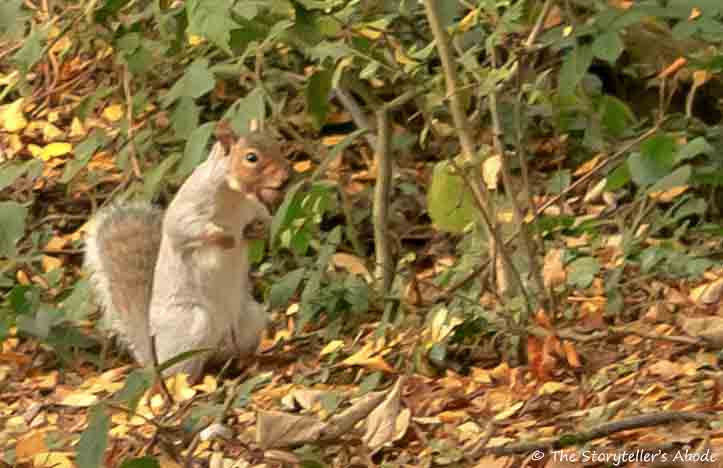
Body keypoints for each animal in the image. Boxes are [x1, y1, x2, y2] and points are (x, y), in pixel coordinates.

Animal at [84, 120, 290, 381]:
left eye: (277, 143)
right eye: (251, 157)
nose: (286, 177)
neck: (234, 196)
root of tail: (154, 356)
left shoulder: (254, 207)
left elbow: (265, 220)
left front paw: (256, 231)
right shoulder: (188, 207)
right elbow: (182, 228)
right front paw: (224, 238)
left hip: (250, 318)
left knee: (231, 355)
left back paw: (254, 362)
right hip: (191, 328)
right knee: (181, 372)